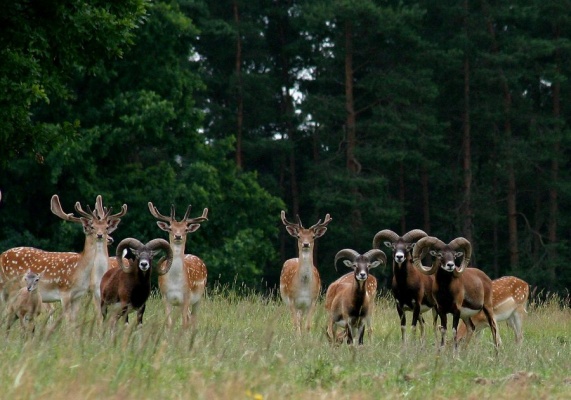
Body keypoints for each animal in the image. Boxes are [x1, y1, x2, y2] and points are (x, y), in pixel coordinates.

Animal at [0, 194, 126, 322]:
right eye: (92, 227)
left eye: (107, 227)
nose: (103, 236)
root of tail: (2, 255)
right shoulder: (66, 293)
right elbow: (71, 320)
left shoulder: (81, 295)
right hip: (11, 288)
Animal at [149, 202, 209, 330]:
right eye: (170, 228)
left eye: (186, 229)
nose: (177, 236)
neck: (175, 281)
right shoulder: (165, 296)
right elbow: (169, 323)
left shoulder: (186, 297)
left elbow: (184, 324)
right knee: (190, 318)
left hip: (199, 296)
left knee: (193, 320)